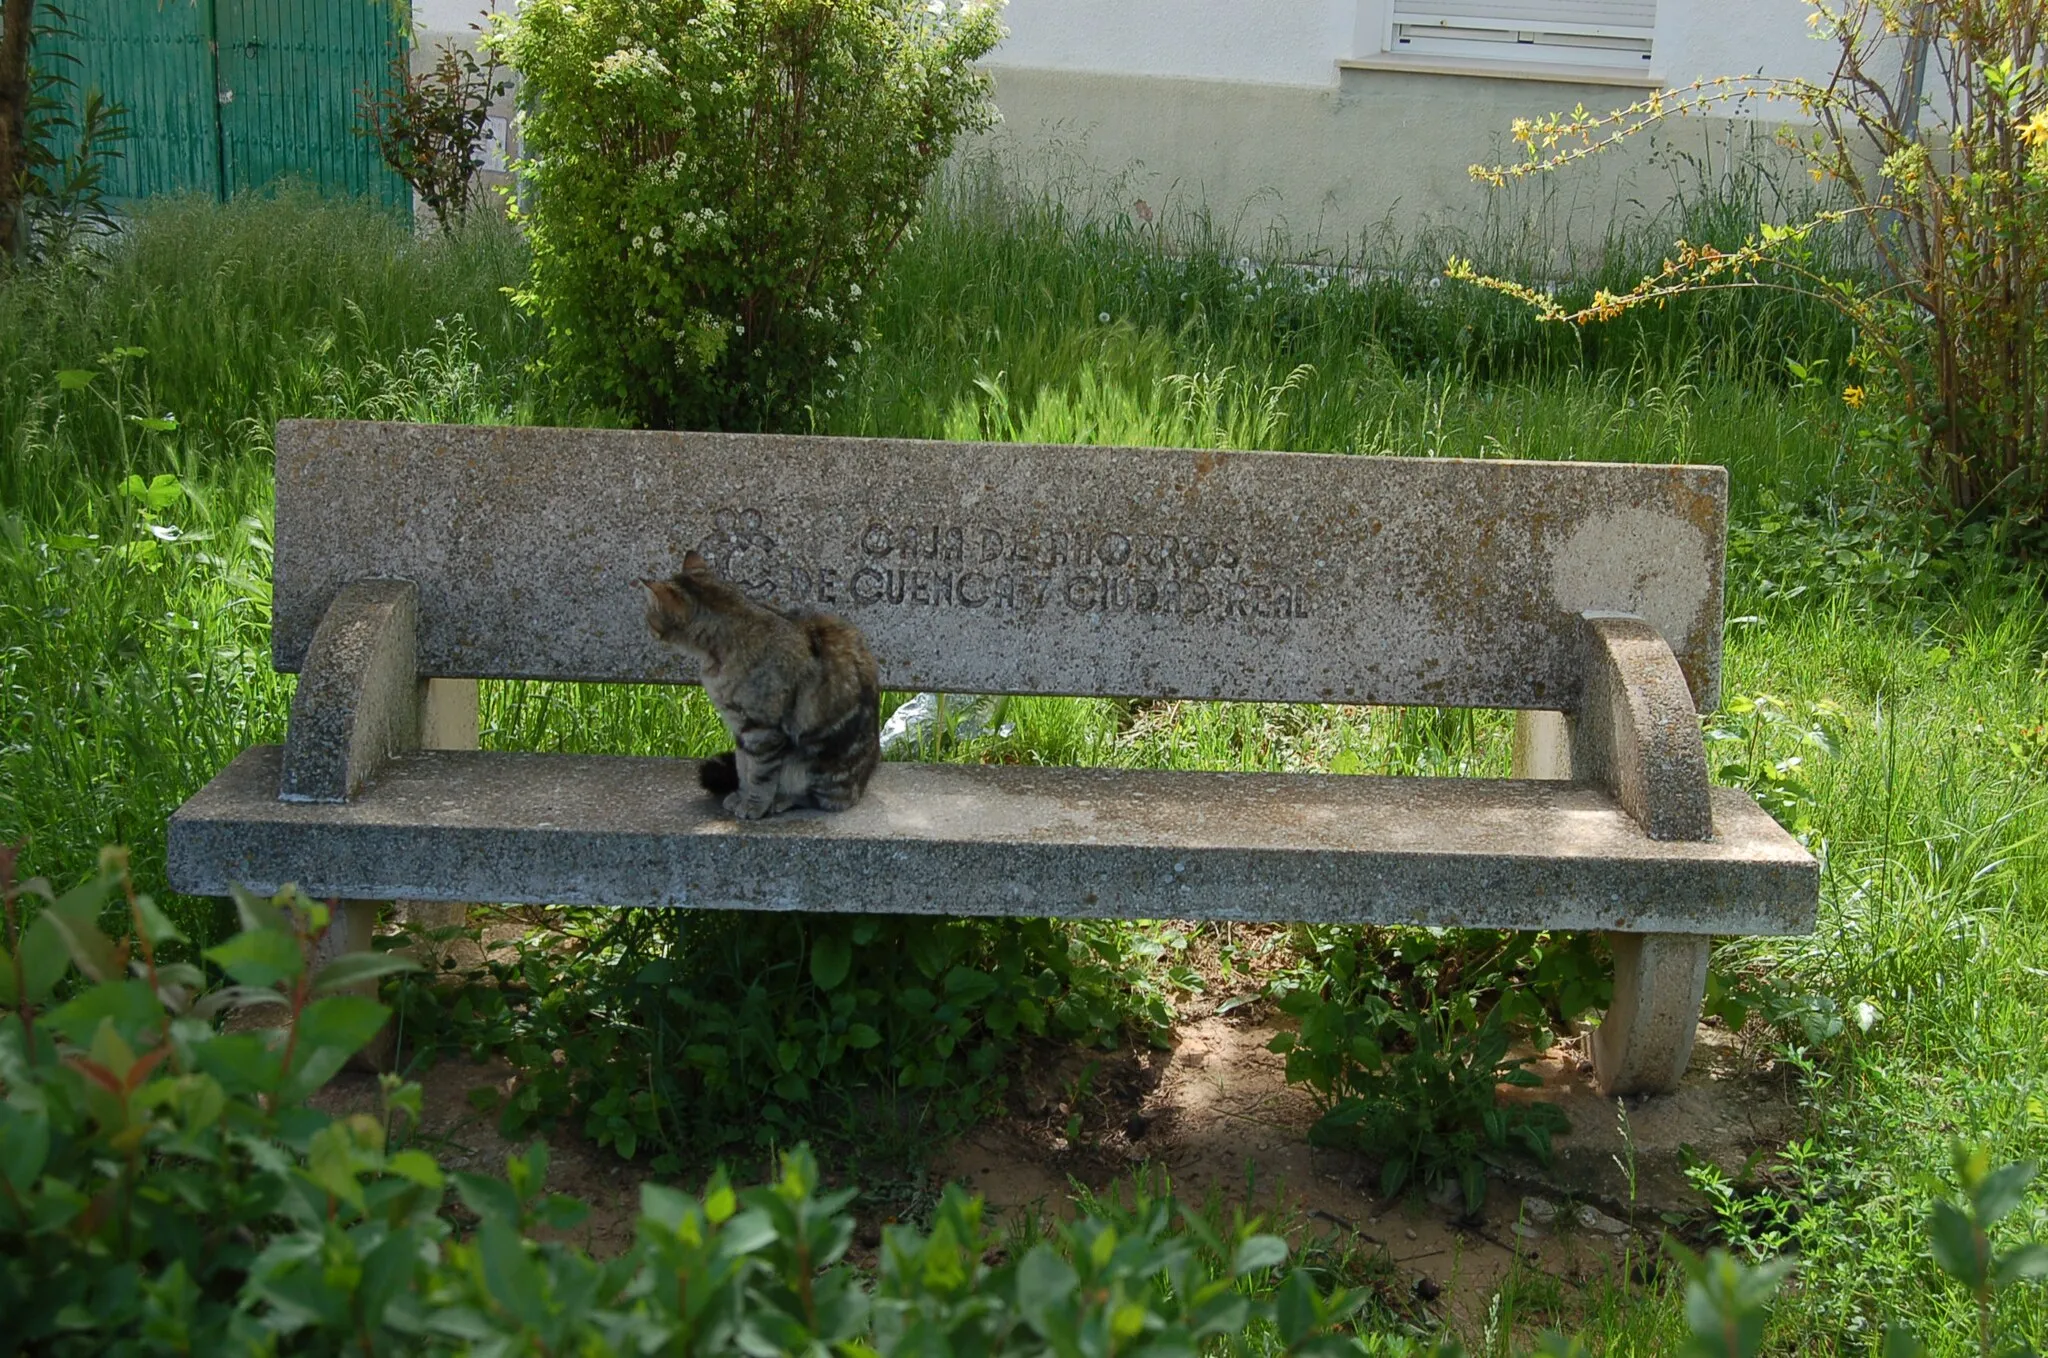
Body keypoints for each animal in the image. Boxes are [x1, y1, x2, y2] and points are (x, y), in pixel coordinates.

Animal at [638, 548, 880, 819]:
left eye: (650, 616)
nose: (647, 626)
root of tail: (864, 780)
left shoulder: (762, 730)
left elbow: (760, 776)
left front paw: (754, 804)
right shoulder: (740, 728)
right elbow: (743, 768)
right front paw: (741, 795)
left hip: (814, 763)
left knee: (822, 799)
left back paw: (782, 800)